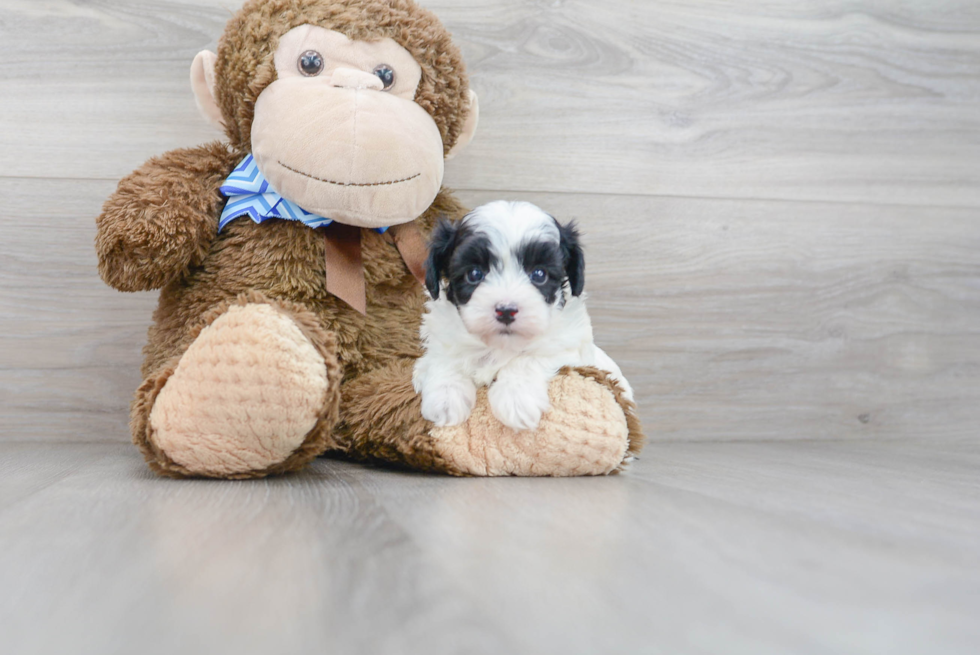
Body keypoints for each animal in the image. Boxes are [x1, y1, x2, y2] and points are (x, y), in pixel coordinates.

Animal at [414, 202, 636, 434]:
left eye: (539, 274)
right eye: (474, 274)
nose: (506, 310)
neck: (499, 345)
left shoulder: (566, 344)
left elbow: (528, 358)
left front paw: (516, 399)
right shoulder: (441, 334)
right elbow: (444, 356)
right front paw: (445, 397)